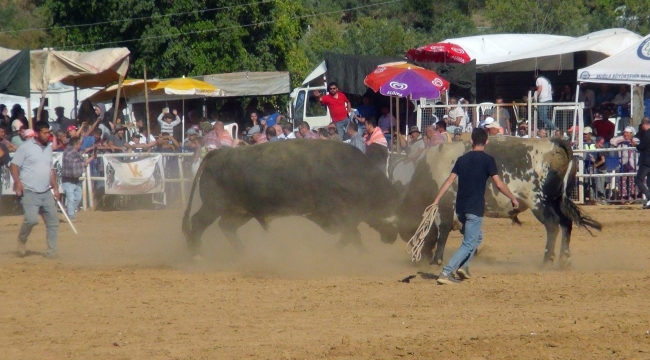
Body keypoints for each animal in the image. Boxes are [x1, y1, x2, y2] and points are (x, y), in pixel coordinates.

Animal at [398, 136, 600, 268]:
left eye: (414, 233)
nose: (419, 260)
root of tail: (554, 143)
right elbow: (467, 232)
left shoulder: (446, 205)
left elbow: (443, 231)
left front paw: (436, 260)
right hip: (556, 200)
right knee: (566, 223)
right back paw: (564, 259)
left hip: (539, 202)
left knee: (552, 225)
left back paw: (546, 261)